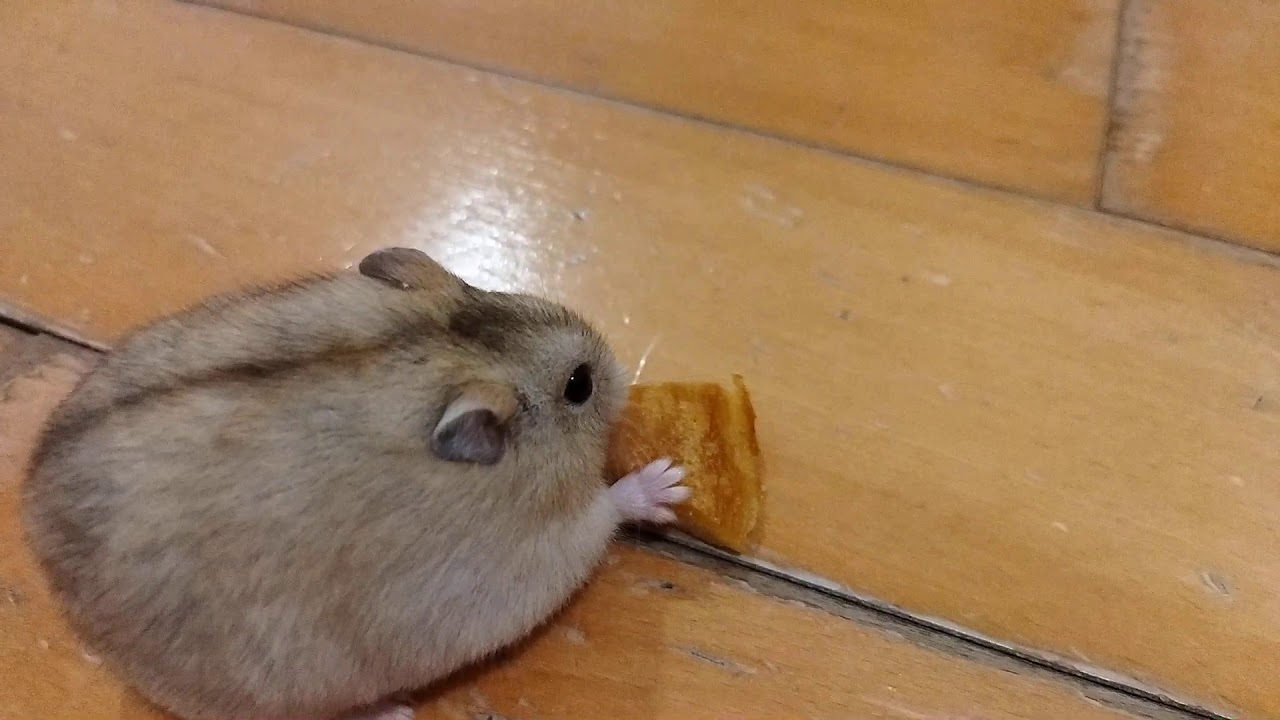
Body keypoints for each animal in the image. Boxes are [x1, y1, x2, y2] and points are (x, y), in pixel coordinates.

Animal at [22, 247, 689, 720]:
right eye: (580, 385)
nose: (621, 370)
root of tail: (30, 509)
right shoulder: (542, 550)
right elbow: (606, 511)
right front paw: (670, 484)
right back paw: (393, 712)